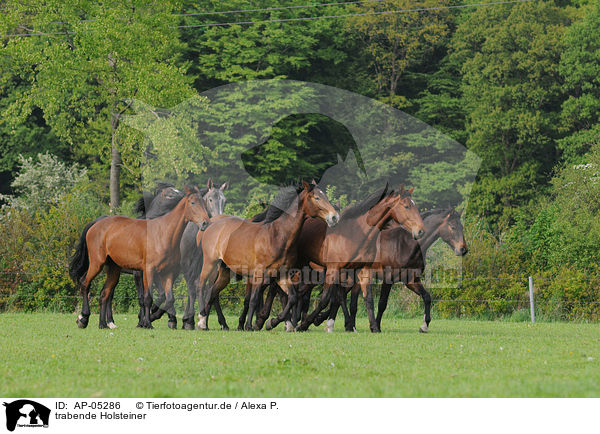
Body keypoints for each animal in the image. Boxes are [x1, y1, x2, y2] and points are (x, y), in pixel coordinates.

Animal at [68, 186, 211, 328]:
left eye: (204, 204)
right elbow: (147, 298)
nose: (205, 223)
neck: (163, 233)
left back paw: (103, 324)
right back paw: (83, 318)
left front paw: (152, 318)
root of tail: (95, 224)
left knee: (104, 294)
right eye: (193, 203)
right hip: (97, 264)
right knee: (85, 283)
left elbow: (169, 299)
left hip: (114, 270)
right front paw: (147, 322)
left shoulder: (168, 273)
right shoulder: (147, 271)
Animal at [195, 181, 340, 330]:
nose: (334, 217)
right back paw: (202, 319)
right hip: (210, 263)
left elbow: (292, 297)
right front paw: (249, 326)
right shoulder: (258, 274)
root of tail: (210, 225)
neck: (276, 236)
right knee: (201, 286)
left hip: (225, 271)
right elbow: (253, 300)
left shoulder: (282, 275)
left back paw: (204, 323)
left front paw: (273, 322)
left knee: (212, 293)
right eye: (317, 198)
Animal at [324, 207, 468, 332]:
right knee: (340, 297)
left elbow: (427, 297)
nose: (463, 249)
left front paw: (424, 326)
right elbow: (382, 304)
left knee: (347, 301)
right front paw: (376, 326)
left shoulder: (411, 281)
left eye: (462, 227)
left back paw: (348, 326)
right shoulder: (388, 279)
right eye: (453, 227)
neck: (407, 245)